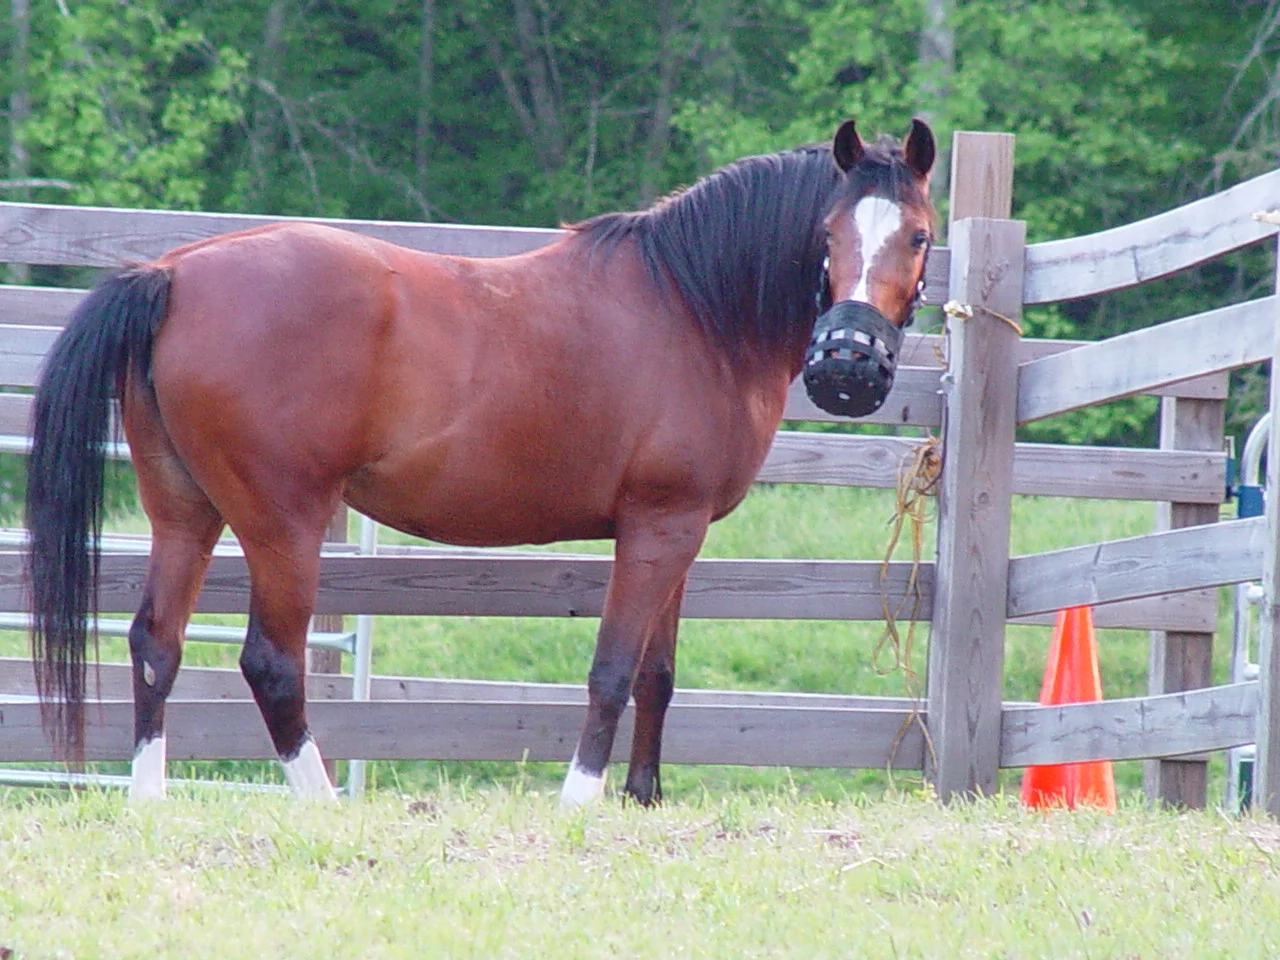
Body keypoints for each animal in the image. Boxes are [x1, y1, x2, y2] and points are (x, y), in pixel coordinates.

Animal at [26, 117, 935, 806]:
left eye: (919, 236)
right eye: (826, 235)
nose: (848, 364)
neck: (694, 308)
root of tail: (173, 273)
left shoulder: (681, 532)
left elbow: (658, 673)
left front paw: (642, 801)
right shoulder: (656, 528)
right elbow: (613, 670)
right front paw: (580, 804)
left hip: (184, 510)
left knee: (156, 643)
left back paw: (150, 803)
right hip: (283, 523)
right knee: (271, 663)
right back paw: (321, 805)